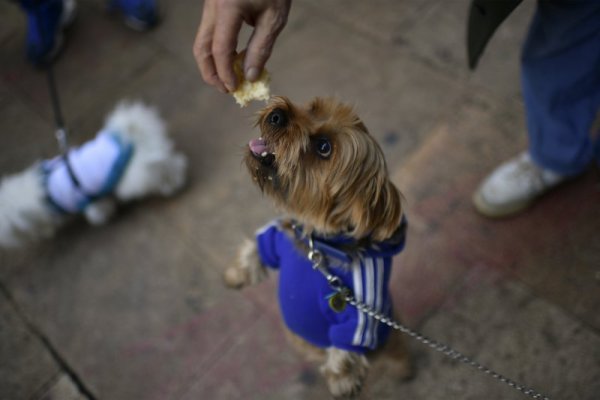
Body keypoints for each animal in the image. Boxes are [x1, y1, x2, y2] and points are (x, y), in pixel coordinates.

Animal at [0, 102, 186, 247]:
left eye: (9, 233)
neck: (43, 191)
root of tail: (131, 137)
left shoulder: (86, 200)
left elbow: (97, 211)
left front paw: (105, 216)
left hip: (135, 178)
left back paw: (172, 185)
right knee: (171, 162)